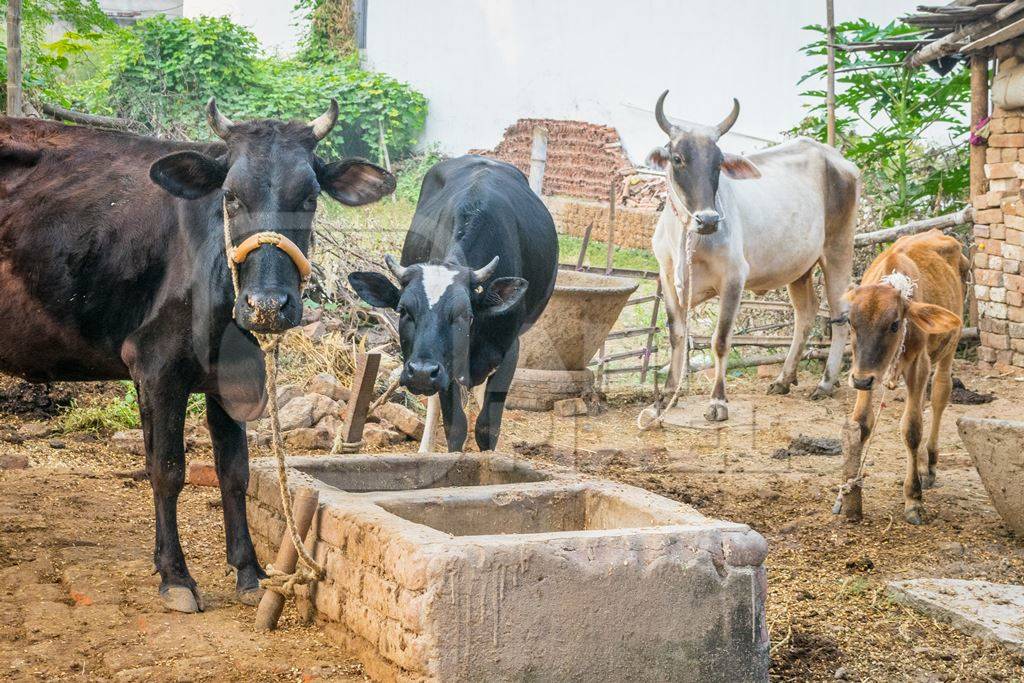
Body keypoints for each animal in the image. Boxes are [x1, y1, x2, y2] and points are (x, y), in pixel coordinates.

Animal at [0, 101, 395, 614]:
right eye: (230, 197)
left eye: (310, 198)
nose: (267, 306)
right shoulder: (156, 367)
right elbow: (167, 470)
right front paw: (175, 576)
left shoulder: (230, 378)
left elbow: (235, 472)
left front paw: (250, 571)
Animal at [348, 156, 557, 450]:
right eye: (403, 310)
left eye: (464, 314)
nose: (421, 372)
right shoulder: (444, 366)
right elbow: (455, 426)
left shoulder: (510, 350)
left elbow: (487, 427)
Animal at [651, 90, 860, 421]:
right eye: (678, 158)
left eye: (719, 163)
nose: (708, 220)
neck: (688, 238)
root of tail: (839, 160)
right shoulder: (668, 280)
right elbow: (677, 334)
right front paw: (667, 395)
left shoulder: (734, 279)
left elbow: (721, 340)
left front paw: (718, 401)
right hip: (800, 268)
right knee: (806, 313)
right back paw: (784, 379)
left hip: (838, 250)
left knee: (841, 314)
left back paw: (826, 383)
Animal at [835, 229, 962, 524]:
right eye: (851, 323)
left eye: (894, 324)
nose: (861, 381)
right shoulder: (864, 370)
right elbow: (861, 423)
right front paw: (850, 490)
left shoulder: (918, 366)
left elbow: (912, 429)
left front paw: (913, 499)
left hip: (950, 346)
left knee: (940, 394)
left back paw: (931, 464)